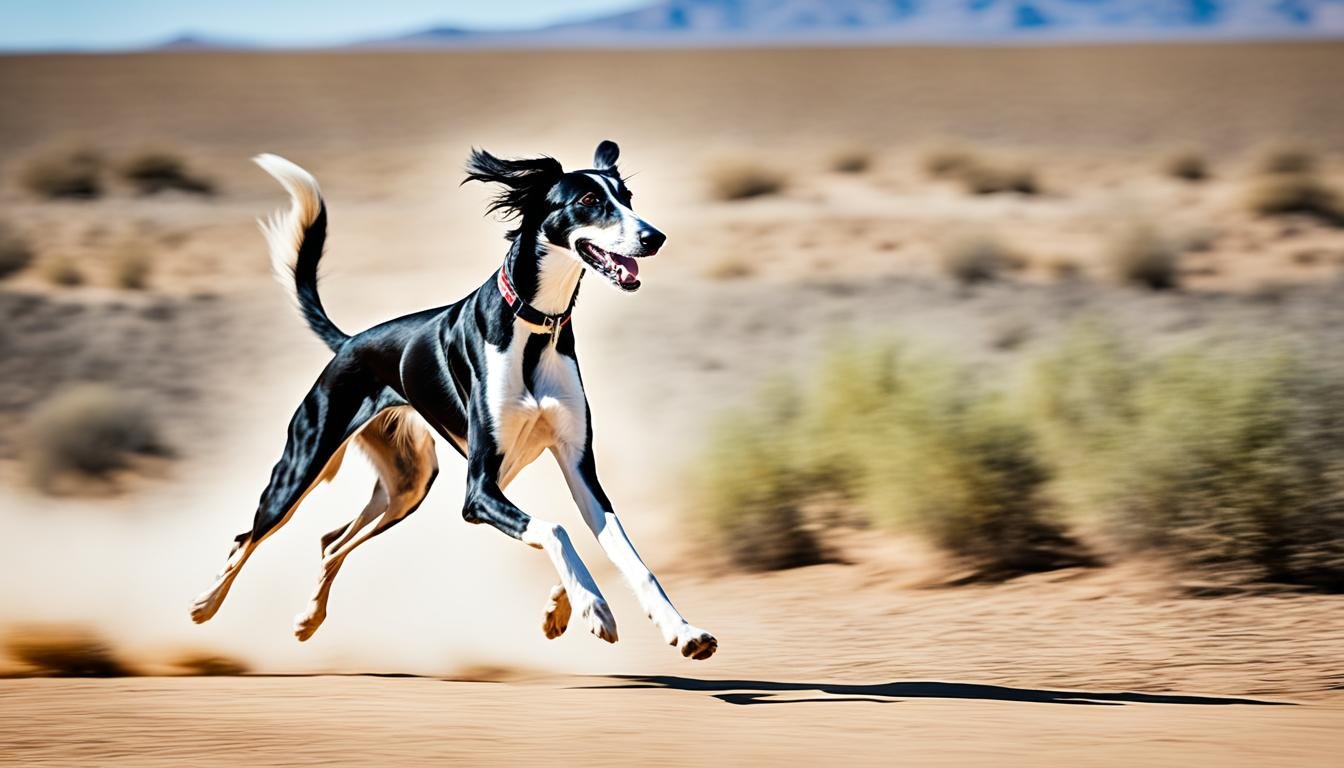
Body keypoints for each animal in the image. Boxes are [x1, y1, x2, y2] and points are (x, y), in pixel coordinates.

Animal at [189, 142, 720, 661]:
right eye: (589, 200)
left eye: (627, 197)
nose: (655, 237)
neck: (534, 328)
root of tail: (349, 342)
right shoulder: (479, 491)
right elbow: (557, 530)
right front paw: (593, 608)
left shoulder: (574, 466)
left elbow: (625, 555)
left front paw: (676, 630)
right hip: (301, 468)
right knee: (248, 538)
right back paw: (205, 605)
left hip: (408, 486)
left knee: (331, 542)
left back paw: (308, 620)